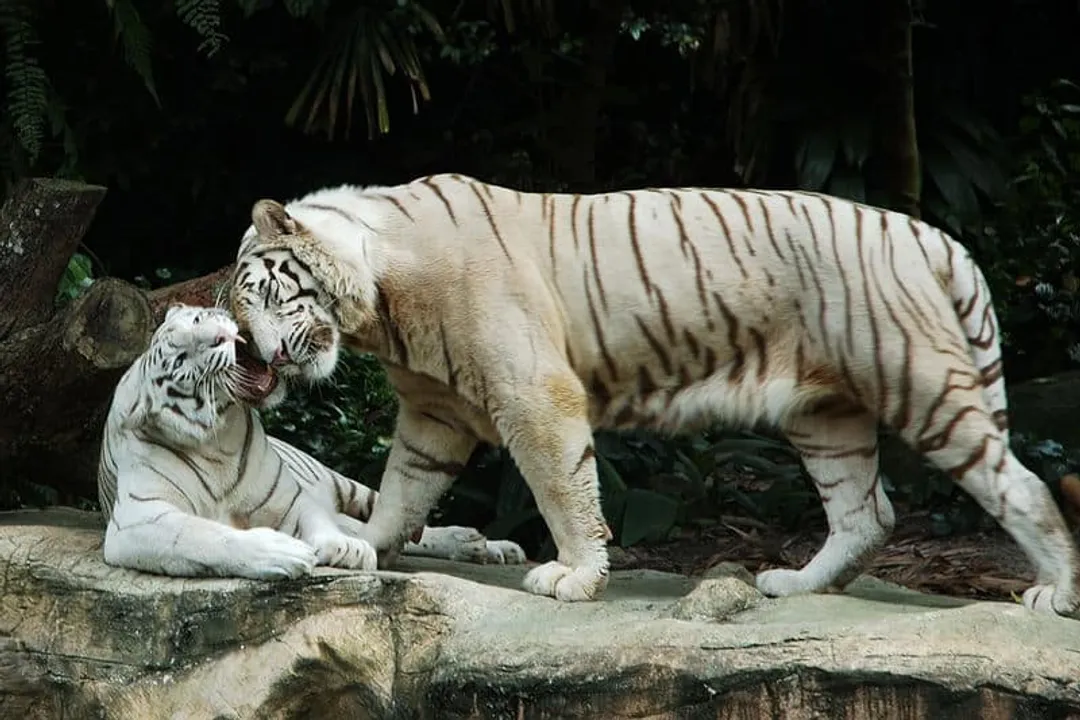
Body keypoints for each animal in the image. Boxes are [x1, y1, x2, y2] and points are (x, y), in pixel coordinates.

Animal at [97, 303, 526, 580]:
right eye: (182, 358)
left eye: (200, 318)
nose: (221, 336)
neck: (218, 442)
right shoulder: (138, 519)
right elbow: (204, 536)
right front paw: (280, 551)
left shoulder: (290, 497)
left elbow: (317, 519)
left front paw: (344, 550)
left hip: (338, 481)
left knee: (395, 516)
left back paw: (485, 545)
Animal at [226, 172, 1080, 619]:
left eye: (262, 294)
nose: (260, 363)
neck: (381, 304)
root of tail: (931, 234)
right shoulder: (433, 413)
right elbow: (403, 490)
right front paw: (363, 547)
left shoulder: (535, 395)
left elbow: (563, 491)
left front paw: (574, 578)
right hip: (824, 414)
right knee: (867, 513)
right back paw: (793, 584)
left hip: (921, 382)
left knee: (1023, 484)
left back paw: (1056, 592)